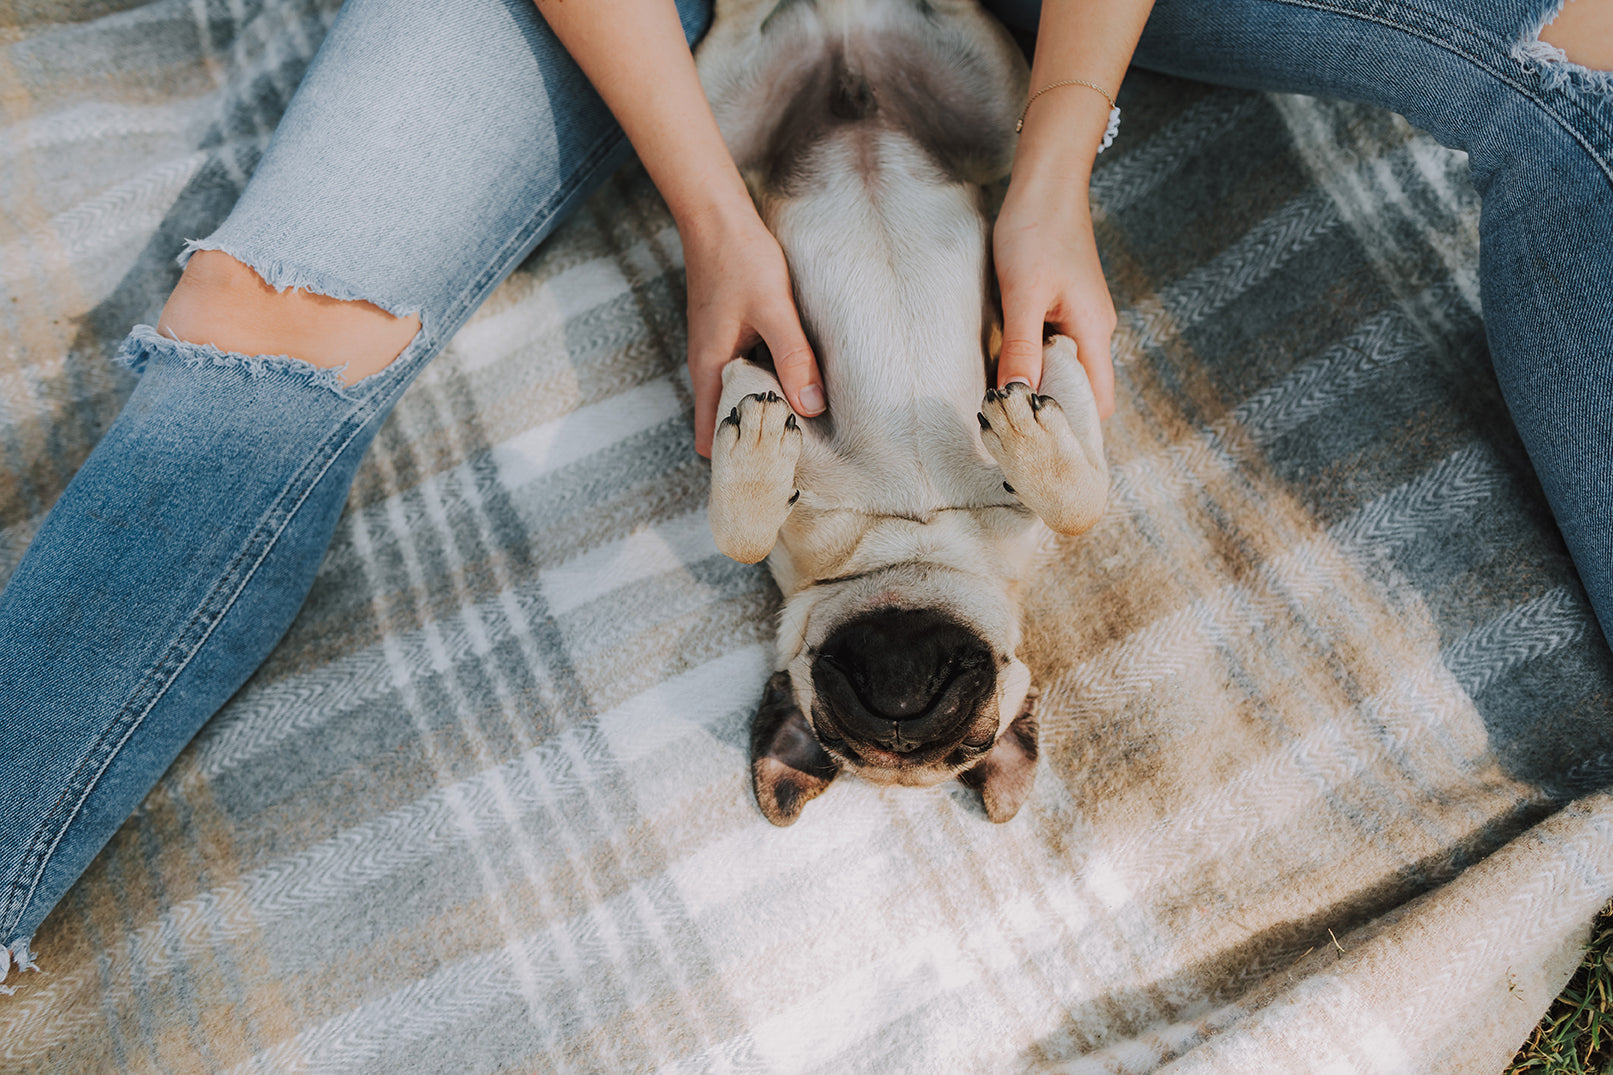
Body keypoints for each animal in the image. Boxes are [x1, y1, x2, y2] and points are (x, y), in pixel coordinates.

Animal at [693, 0, 1109, 823]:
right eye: (836, 730)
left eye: (969, 742)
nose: (901, 715)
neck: (908, 533)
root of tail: (843, 35)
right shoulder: (755, 383)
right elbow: (741, 536)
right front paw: (755, 454)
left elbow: (1082, 504)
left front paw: (1031, 437)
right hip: (724, 118)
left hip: (993, 110)